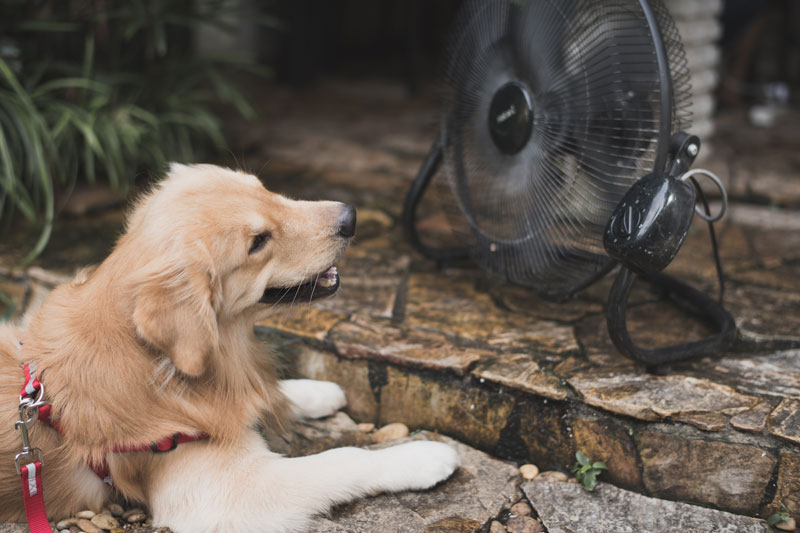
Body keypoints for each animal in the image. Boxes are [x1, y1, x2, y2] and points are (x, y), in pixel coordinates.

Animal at [0, 164, 460, 532]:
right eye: (258, 242)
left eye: (265, 189)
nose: (351, 217)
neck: (152, 359)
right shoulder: (225, 494)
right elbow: (343, 458)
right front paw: (421, 457)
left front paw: (314, 393)